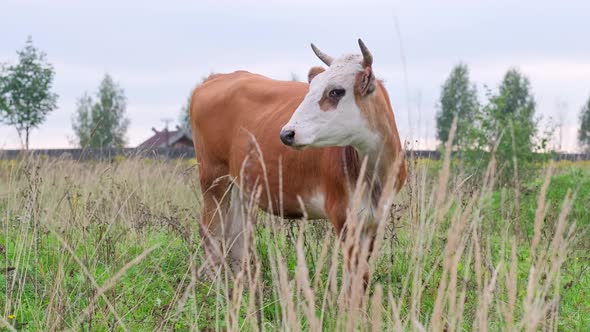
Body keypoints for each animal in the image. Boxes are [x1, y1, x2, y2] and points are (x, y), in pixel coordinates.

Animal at [190, 40, 408, 282]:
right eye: (310, 89)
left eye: (336, 91)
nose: (287, 133)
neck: (375, 172)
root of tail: (218, 77)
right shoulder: (342, 214)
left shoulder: (374, 220)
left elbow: (363, 274)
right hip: (213, 178)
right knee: (211, 230)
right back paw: (212, 281)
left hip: (241, 185)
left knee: (237, 234)